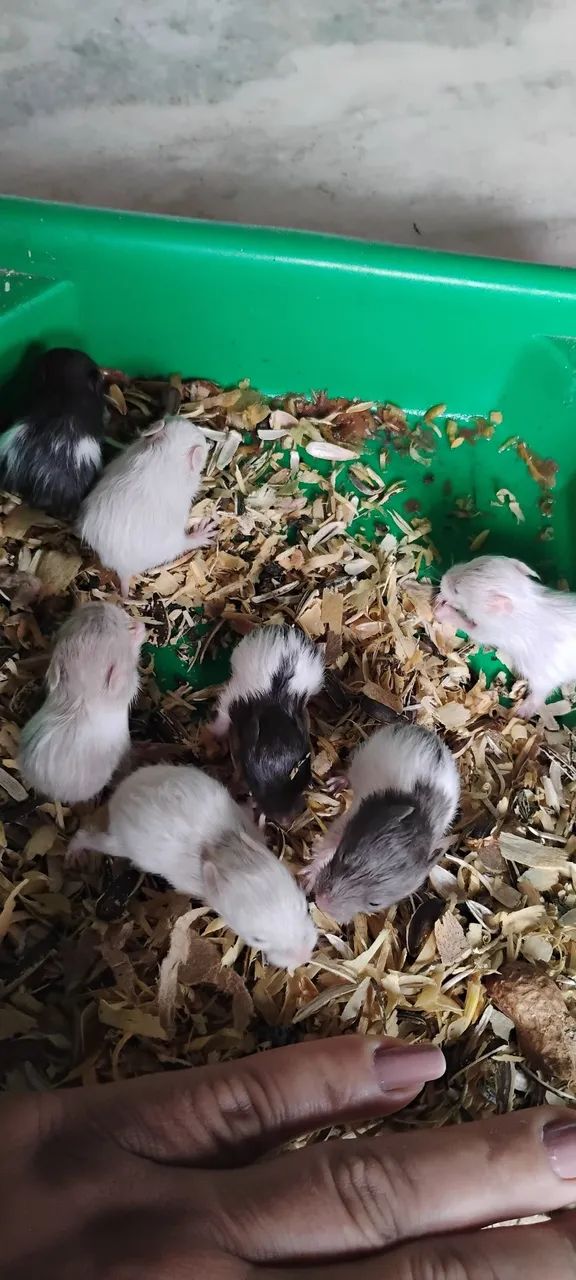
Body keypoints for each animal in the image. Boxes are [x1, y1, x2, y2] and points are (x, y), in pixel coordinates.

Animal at [69, 763, 317, 969]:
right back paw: (75, 848)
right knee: (92, 839)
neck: (223, 849)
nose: (304, 957)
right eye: (257, 939)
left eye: (303, 906)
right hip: (121, 842)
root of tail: (120, 792)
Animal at [77, 416, 215, 596]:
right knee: (185, 544)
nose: (208, 442)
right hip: (174, 541)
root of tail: (123, 570)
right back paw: (202, 533)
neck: (165, 452)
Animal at [306, 724, 460, 922]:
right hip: (363, 756)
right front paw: (307, 878)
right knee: (349, 774)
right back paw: (337, 783)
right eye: (344, 857)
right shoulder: (348, 820)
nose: (320, 902)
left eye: (374, 903)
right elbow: (326, 846)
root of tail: (427, 731)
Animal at [435, 554, 576, 717]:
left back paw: (521, 712)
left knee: (539, 695)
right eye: (469, 561)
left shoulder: (488, 631)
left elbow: (468, 626)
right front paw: (440, 598)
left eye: (457, 590)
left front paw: (441, 609)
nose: (443, 577)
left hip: (542, 677)